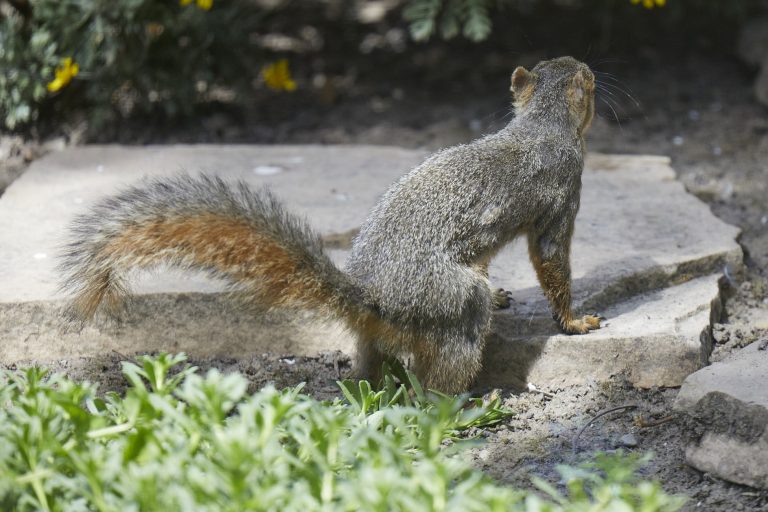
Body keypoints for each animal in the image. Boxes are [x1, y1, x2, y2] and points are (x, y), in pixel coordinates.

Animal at [59, 56, 600, 394]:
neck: (541, 122)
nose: (592, 69)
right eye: (587, 80)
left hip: (380, 337)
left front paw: (506, 293)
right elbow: (551, 257)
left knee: (372, 369)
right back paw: (463, 402)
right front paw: (575, 321)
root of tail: (374, 300)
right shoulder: (563, 193)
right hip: (454, 303)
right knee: (440, 377)